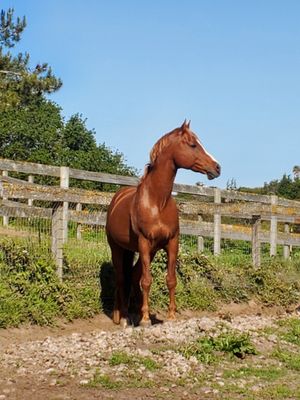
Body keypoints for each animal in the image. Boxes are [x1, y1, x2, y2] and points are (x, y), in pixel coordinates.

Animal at [105, 120, 220, 326]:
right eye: (193, 145)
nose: (217, 167)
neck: (157, 202)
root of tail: (117, 198)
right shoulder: (143, 243)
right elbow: (147, 281)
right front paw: (145, 320)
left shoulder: (172, 243)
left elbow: (171, 279)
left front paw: (171, 316)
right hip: (117, 247)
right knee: (121, 278)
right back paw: (124, 317)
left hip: (145, 251)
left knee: (132, 276)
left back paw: (131, 313)